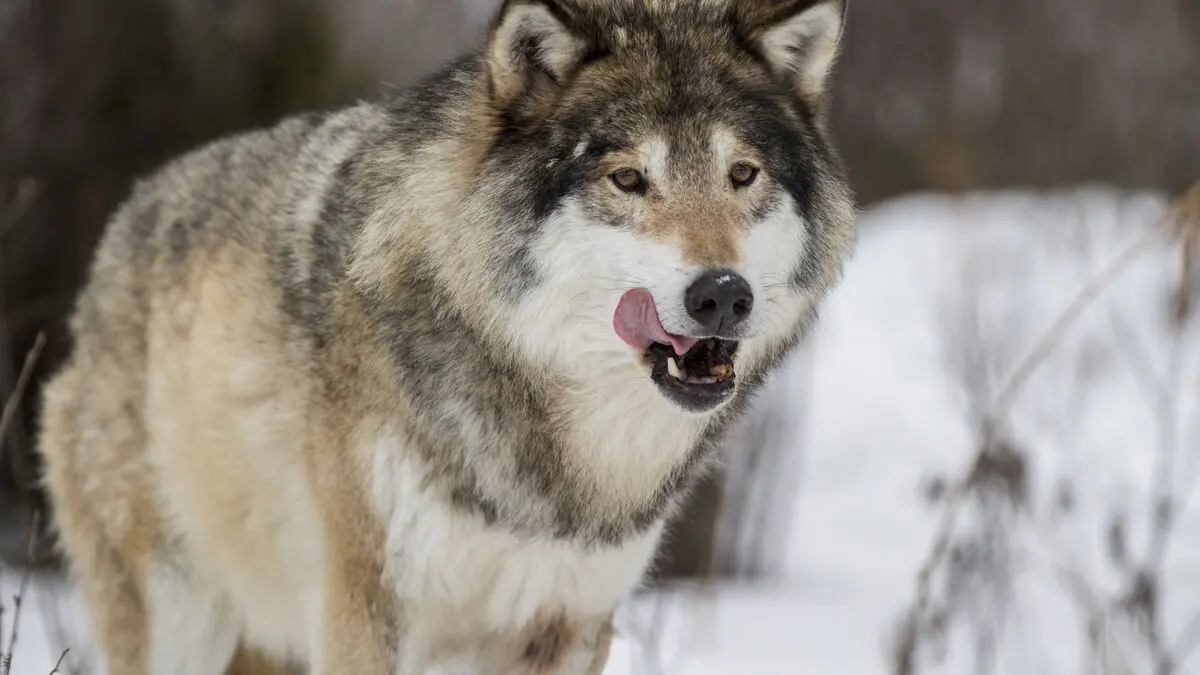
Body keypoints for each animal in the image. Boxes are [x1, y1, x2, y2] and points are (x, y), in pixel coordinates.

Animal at [36, 0, 857, 672]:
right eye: (628, 180)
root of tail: (120, 226)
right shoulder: (365, 612)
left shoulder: (568, 624)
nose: (722, 295)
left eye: (742, 174)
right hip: (178, 619)